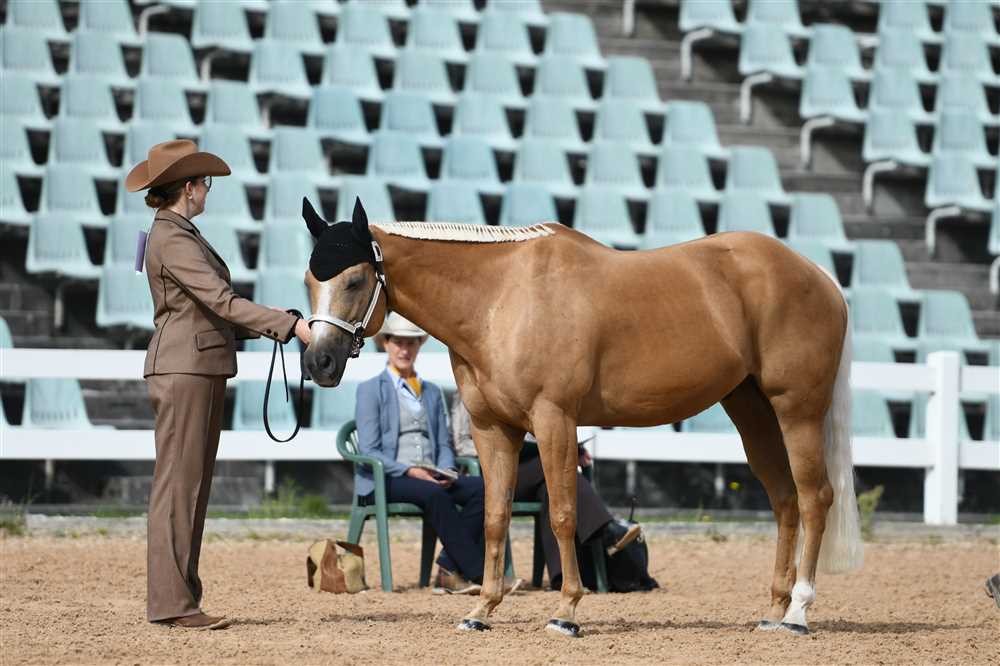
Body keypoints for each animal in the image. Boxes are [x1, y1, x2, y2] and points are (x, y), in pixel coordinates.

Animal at [298, 198, 864, 637]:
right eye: (309, 280)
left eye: (354, 280)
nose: (318, 362)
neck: (500, 298)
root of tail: (820, 278)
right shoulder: (493, 430)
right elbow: (495, 517)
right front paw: (481, 610)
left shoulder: (554, 420)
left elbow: (563, 514)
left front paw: (566, 611)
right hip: (752, 411)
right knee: (785, 501)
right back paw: (774, 610)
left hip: (797, 411)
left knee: (815, 498)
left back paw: (798, 613)